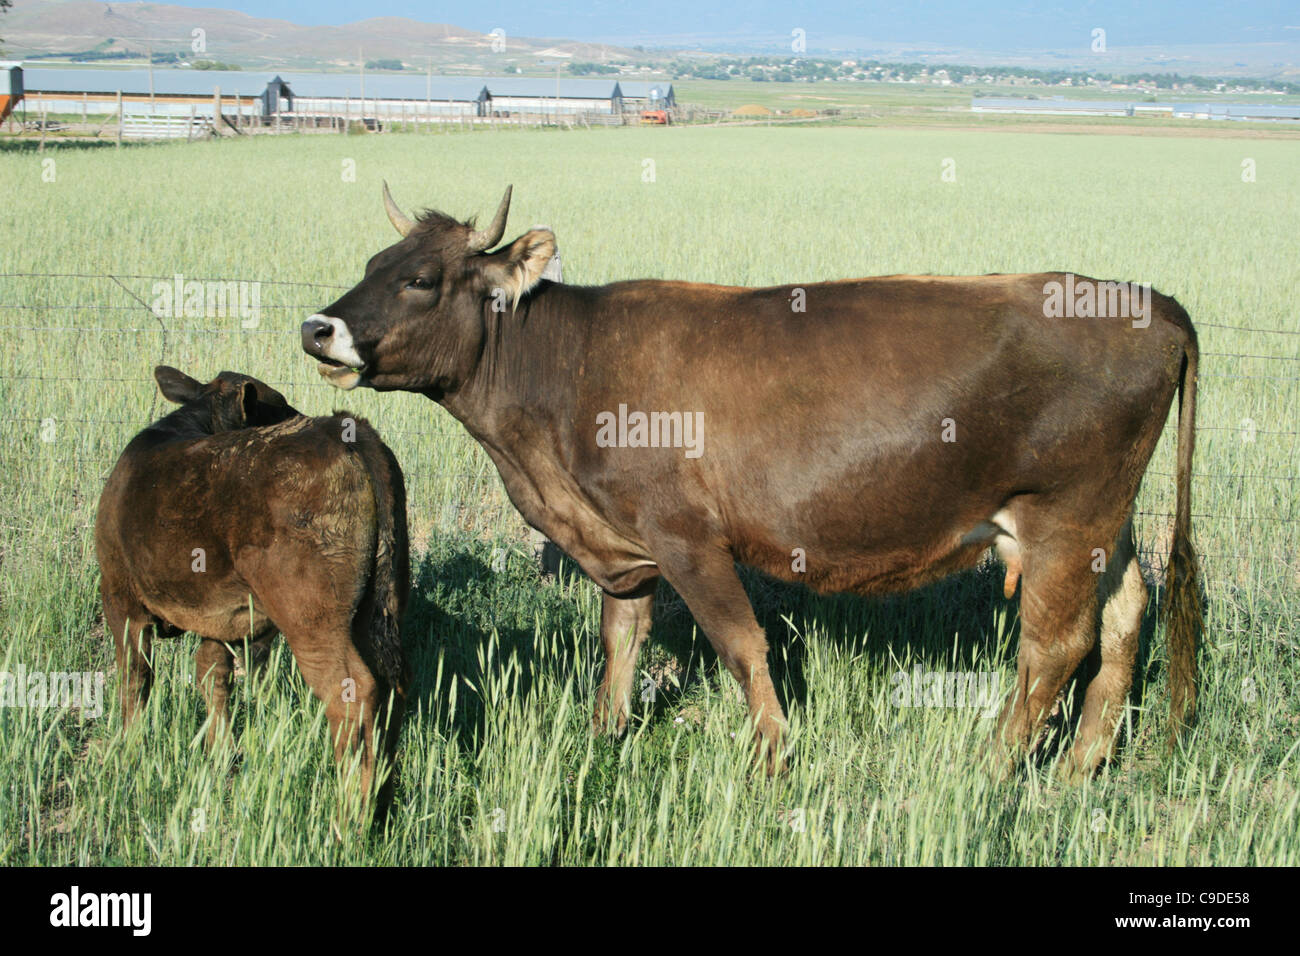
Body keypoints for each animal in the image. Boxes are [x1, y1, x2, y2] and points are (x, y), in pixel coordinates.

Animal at [95, 367, 410, 810]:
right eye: (279, 406)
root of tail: (342, 427)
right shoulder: (221, 615)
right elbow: (211, 673)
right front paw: (220, 754)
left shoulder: (119, 595)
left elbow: (135, 678)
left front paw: (129, 750)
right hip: (380, 603)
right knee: (391, 688)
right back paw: (381, 801)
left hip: (312, 619)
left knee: (353, 691)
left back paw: (351, 815)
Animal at [301, 183, 1201, 780]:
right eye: (374, 261)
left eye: (421, 278)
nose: (318, 327)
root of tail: (1150, 301)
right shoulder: (626, 543)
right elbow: (620, 642)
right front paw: (604, 740)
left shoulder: (686, 537)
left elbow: (740, 646)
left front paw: (772, 761)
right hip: (1106, 525)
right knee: (1124, 618)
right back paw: (1081, 767)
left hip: (1064, 517)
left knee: (1055, 645)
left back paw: (991, 769)